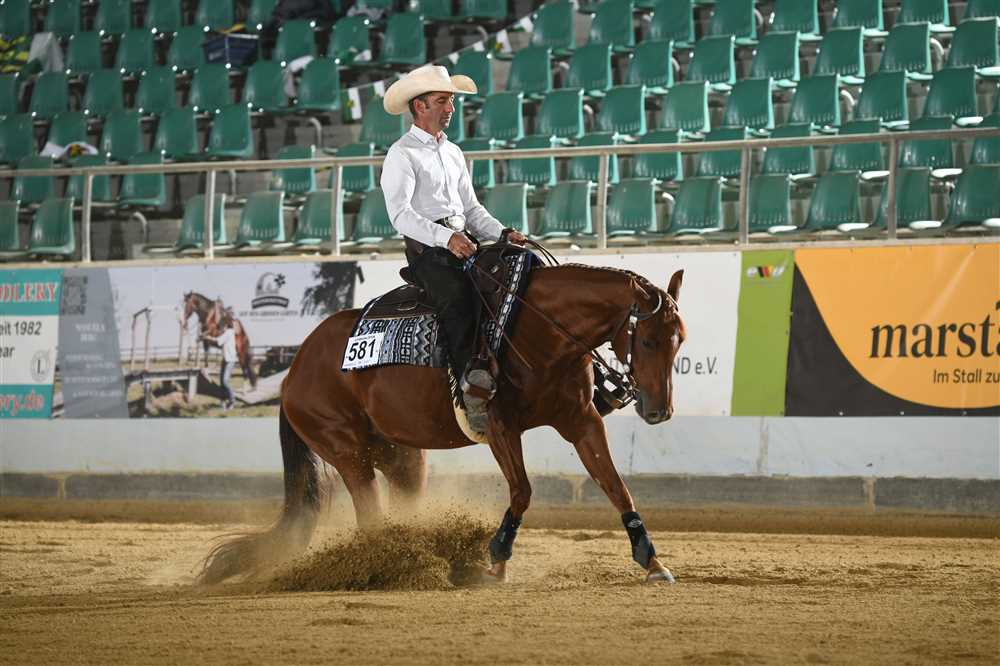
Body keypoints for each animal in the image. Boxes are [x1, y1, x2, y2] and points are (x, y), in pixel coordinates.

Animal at [199, 257, 685, 584]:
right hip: (347, 450)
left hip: (401, 456)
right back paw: (391, 568)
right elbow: (522, 491)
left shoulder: (582, 422)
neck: (535, 328)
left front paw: (652, 561)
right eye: (647, 339)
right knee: (369, 514)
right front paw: (496, 560)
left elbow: (616, 486)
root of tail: (295, 369)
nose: (659, 411)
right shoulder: (499, 429)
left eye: (679, 340)